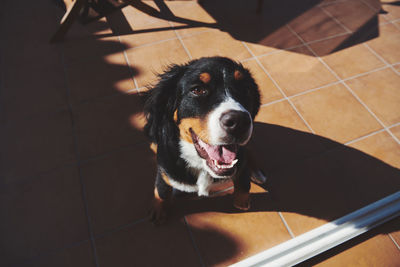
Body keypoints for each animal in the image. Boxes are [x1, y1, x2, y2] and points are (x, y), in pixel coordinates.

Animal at [144, 57, 266, 226]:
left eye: (245, 89)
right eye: (197, 90)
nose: (239, 122)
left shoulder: (240, 162)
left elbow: (242, 180)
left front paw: (241, 200)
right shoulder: (164, 167)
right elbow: (161, 190)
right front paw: (158, 210)